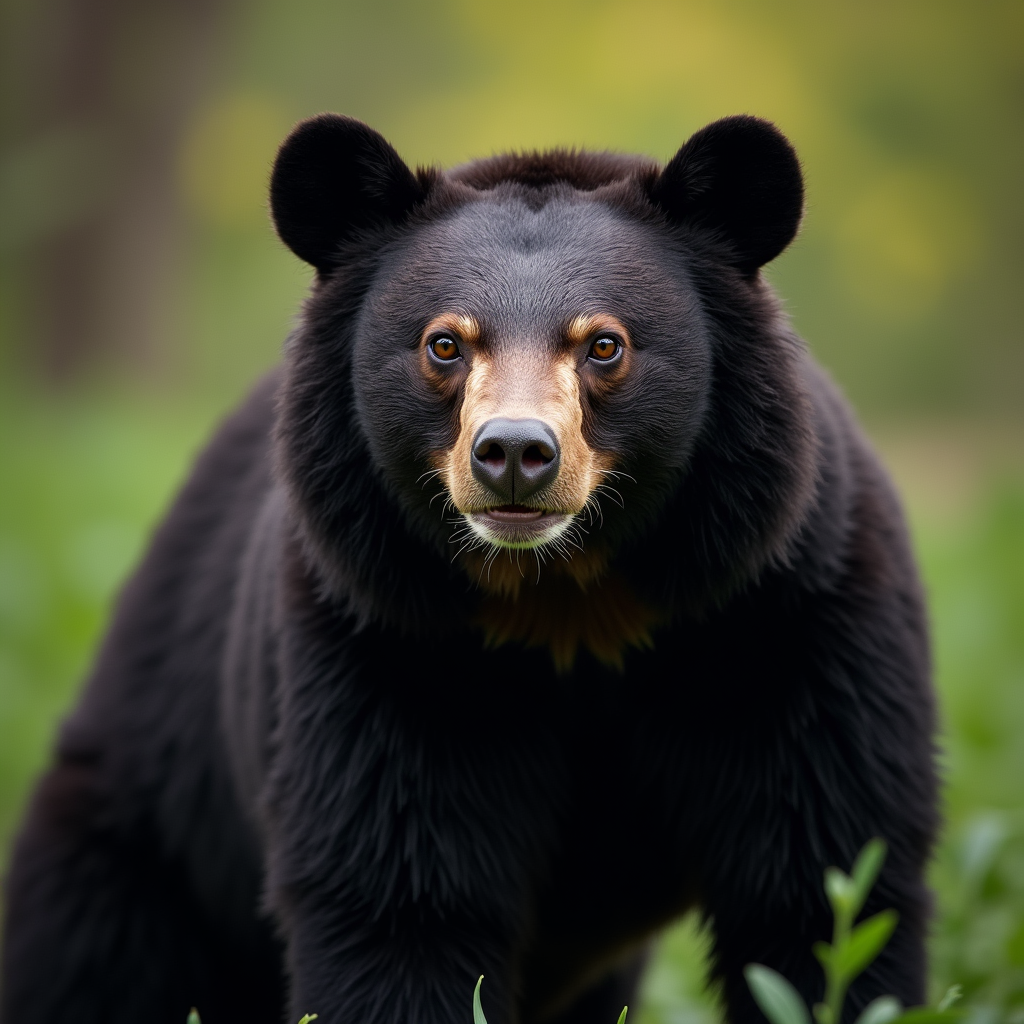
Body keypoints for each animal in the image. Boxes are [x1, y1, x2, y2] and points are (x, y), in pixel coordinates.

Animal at [0, 113, 937, 1024]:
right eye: (445, 344)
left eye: (604, 345)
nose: (515, 454)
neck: (568, 603)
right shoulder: (386, 645)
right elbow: (397, 892)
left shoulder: (785, 621)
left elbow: (822, 882)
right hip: (148, 825)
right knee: (90, 953)